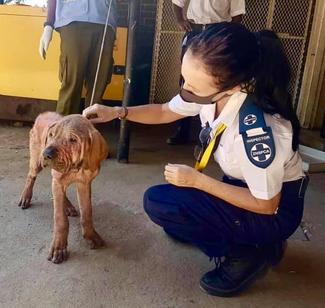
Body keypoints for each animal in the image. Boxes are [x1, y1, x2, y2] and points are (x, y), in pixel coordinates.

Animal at [18, 112, 108, 264]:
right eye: (51, 135)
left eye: (73, 140)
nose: (46, 154)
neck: (75, 168)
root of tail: (42, 114)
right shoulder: (59, 181)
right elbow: (60, 219)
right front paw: (59, 248)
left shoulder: (84, 184)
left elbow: (87, 213)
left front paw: (91, 235)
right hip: (36, 161)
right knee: (31, 177)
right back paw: (26, 197)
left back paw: (68, 206)